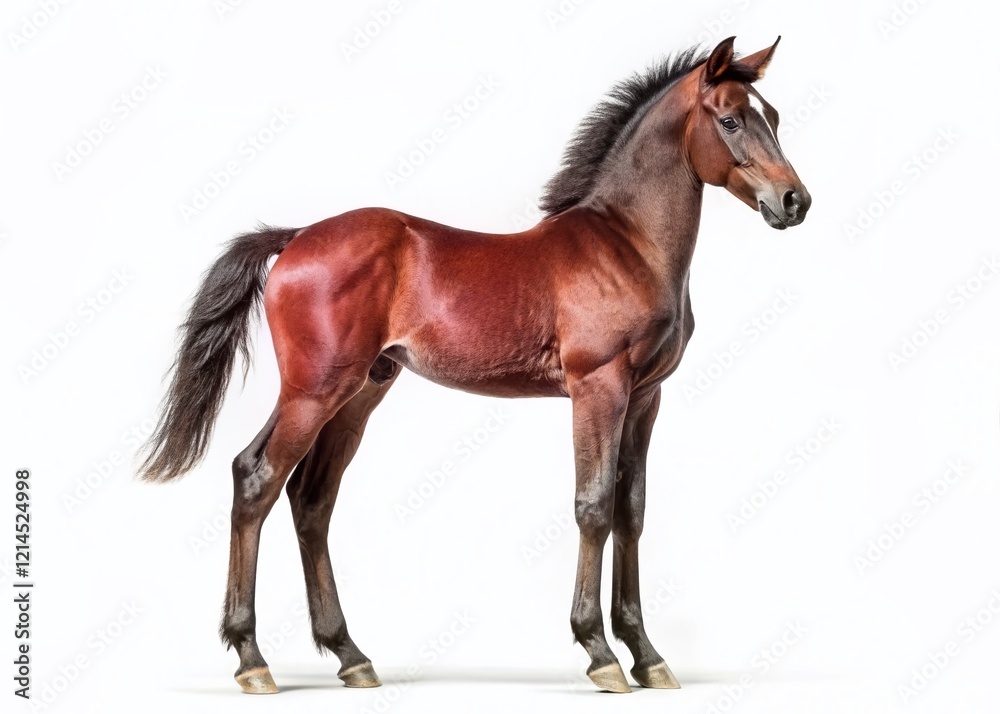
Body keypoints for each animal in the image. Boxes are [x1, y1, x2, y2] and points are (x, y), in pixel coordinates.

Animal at [138, 35, 811, 695]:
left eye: (773, 117)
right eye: (729, 119)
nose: (794, 200)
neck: (627, 244)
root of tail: (297, 236)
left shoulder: (646, 397)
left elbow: (632, 510)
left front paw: (646, 654)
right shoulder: (599, 388)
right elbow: (593, 506)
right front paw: (599, 652)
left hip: (358, 394)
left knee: (310, 498)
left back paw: (350, 655)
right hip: (313, 390)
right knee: (258, 479)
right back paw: (252, 659)